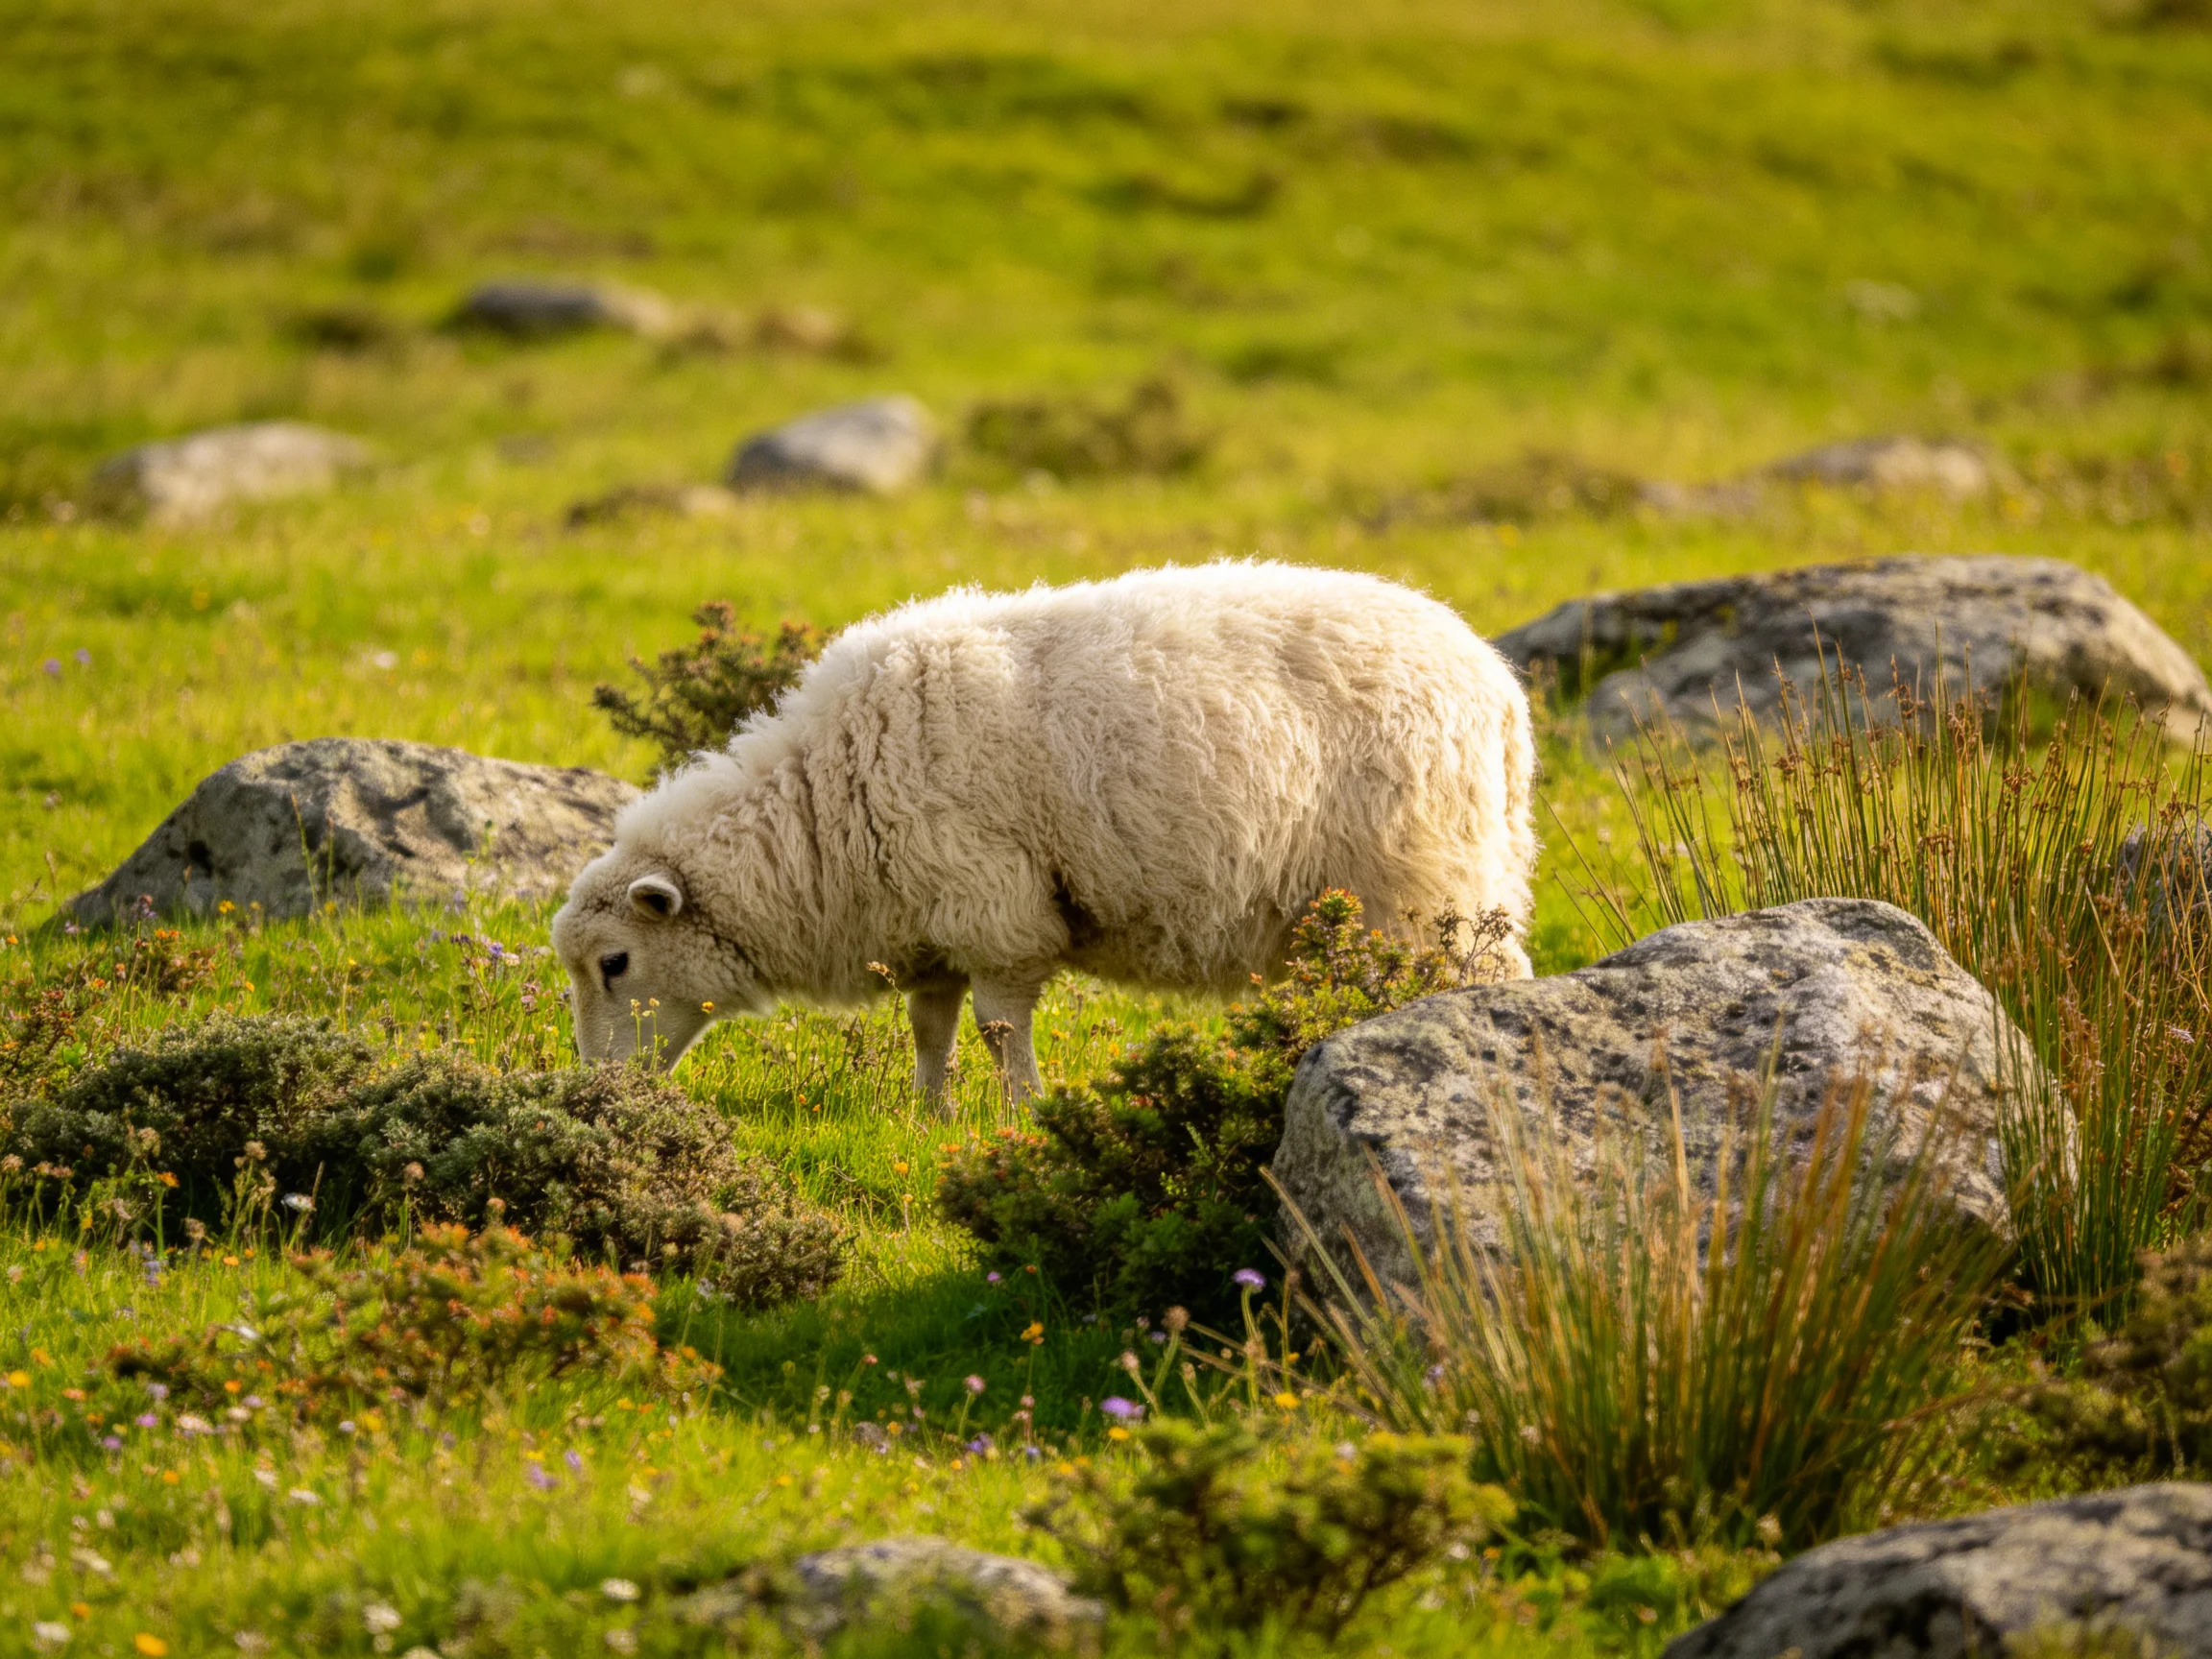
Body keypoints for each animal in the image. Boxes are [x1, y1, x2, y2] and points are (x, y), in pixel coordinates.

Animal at [552, 560, 1536, 1097]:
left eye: (616, 963)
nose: (600, 1089)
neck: (825, 806)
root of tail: (1496, 686)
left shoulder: (995, 907)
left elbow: (996, 1029)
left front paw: (1023, 1113)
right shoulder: (928, 924)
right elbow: (930, 1028)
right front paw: (930, 1115)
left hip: (1422, 879)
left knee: (1480, 979)